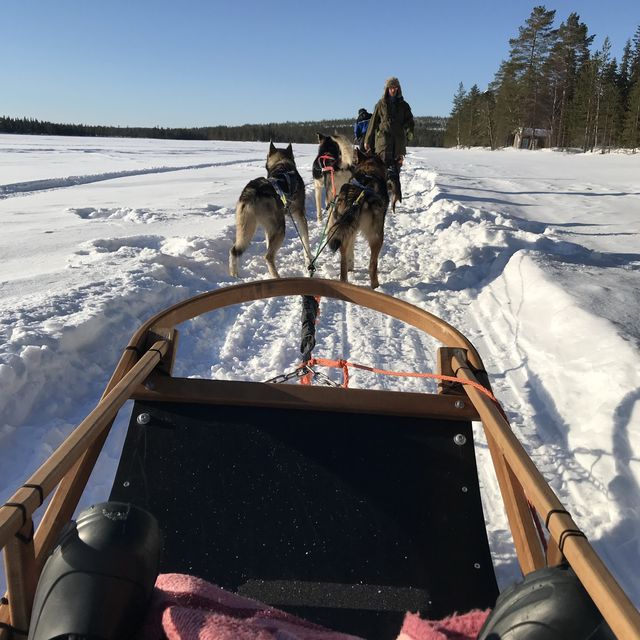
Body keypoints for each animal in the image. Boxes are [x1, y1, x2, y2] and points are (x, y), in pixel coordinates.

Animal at [230, 144, 310, 278]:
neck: (282, 163)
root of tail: (252, 192)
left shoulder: (268, 229)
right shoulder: (300, 216)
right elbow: (306, 243)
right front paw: (309, 261)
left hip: (246, 228)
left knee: (234, 251)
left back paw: (234, 274)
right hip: (280, 229)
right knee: (268, 256)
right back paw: (276, 277)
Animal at [328, 148, 388, 288]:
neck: (369, 169)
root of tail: (358, 196)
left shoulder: (351, 230)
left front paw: (351, 266)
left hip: (342, 231)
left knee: (343, 261)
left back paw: (344, 281)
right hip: (377, 236)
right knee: (372, 264)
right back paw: (375, 286)